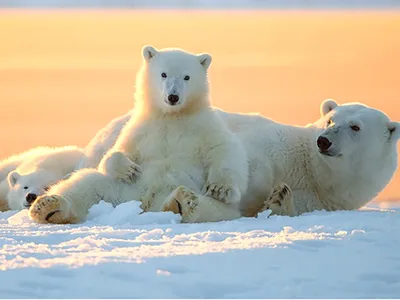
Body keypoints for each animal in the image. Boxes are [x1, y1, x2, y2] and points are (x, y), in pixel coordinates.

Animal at [29, 44, 250, 223]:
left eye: (187, 77)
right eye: (163, 74)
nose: (173, 96)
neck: (171, 117)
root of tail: (144, 205)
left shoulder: (204, 125)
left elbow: (224, 149)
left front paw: (219, 188)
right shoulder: (141, 129)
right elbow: (116, 152)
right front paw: (128, 169)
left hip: (198, 198)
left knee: (213, 208)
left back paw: (182, 203)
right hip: (119, 190)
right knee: (87, 185)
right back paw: (47, 206)